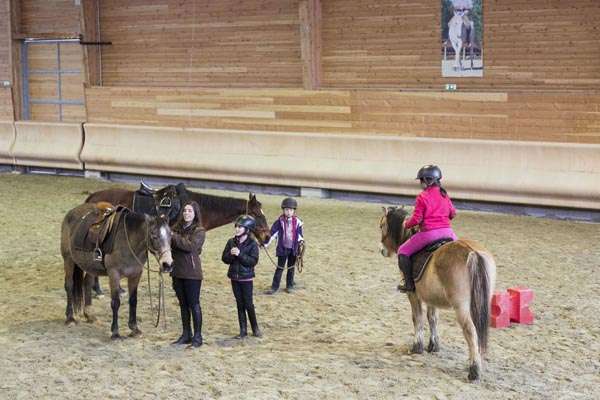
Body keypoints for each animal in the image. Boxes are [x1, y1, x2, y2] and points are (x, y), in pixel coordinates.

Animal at [61, 203, 172, 338]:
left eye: (171, 235)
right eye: (154, 236)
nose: (167, 264)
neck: (128, 240)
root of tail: (71, 213)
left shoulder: (136, 274)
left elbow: (133, 300)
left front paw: (134, 328)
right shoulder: (114, 274)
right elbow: (115, 302)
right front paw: (115, 332)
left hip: (90, 267)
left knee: (87, 284)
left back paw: (89, 315)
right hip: (68, 260)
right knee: (69, 285)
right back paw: (70, 318)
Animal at [380, 206, 496, 382]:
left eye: (382, 226)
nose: (382, 250)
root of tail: (473, 253)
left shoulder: (413, 295)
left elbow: (417, 318)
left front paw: (417, 347)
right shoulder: (431, 298)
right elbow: (432, 319)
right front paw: (433, 346)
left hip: (461, 307)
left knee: (470, 331)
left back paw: (474, 371)